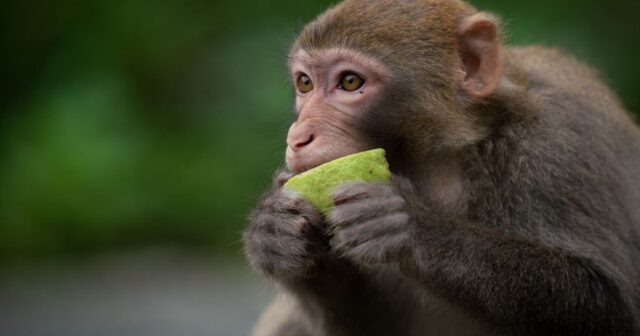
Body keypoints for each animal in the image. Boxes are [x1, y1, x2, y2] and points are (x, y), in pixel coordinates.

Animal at [241, 0, 640, 334]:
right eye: (304, 83)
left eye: (350, 81)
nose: (298, 136)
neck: (441, 160)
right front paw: (273, 232)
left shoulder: (562, 142)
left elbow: (610, 302)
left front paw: (412, 225)